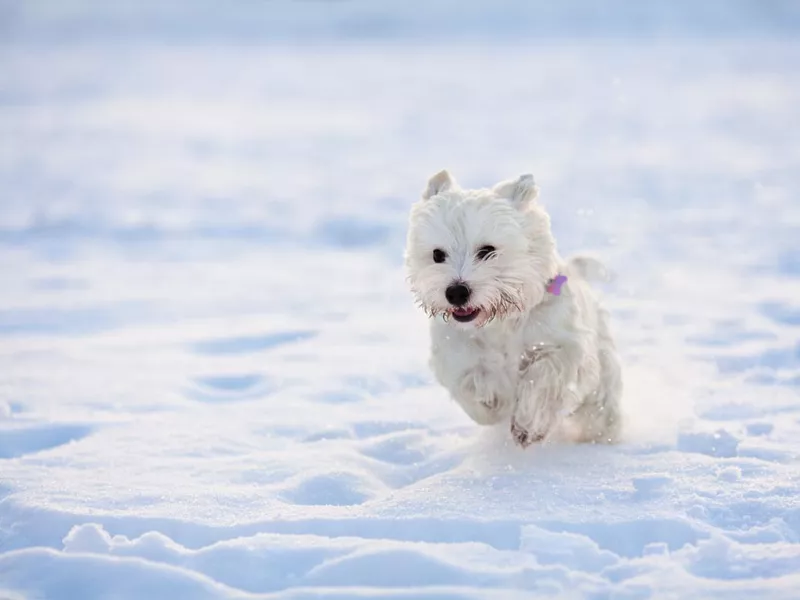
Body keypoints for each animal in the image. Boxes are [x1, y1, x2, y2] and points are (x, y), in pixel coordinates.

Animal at [404, 169, 620, 446]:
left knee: (601, 414)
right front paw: (492, 401)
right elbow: (471, 382)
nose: (455, 292)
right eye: (437, 255)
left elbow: (543, 376)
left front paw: (528, 425)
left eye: (487, 250)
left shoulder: (563, 345)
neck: (500, 321)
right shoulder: (455, 353)